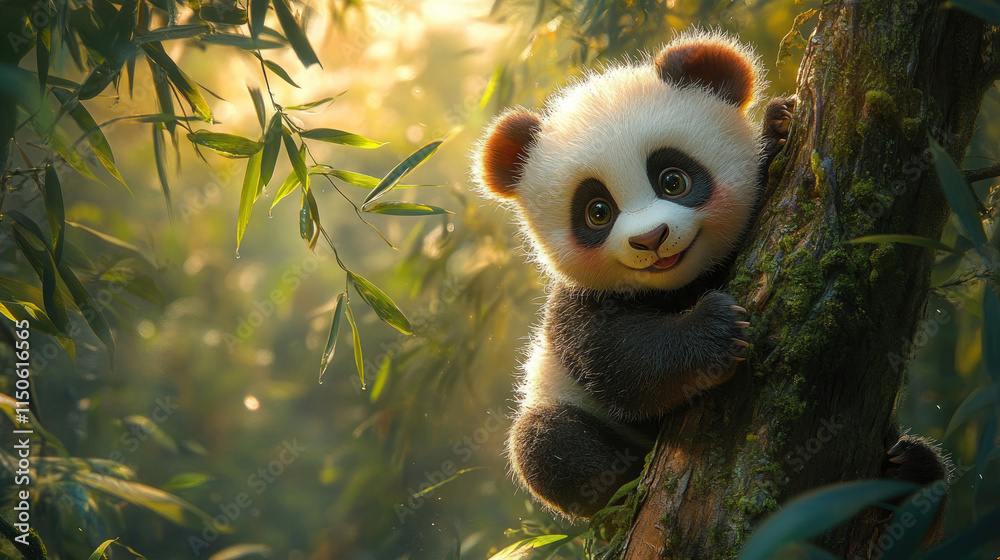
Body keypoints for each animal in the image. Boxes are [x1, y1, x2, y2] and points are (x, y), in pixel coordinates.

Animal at [472, 30, 950, 527]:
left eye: (673, 180)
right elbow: (616, 358)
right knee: (547, 444)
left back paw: (911, 469)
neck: (683, 283)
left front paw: (780, 125)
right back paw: (624, 492)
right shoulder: (578, 304)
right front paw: (713, 331)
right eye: (597, 211)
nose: (651, 239)